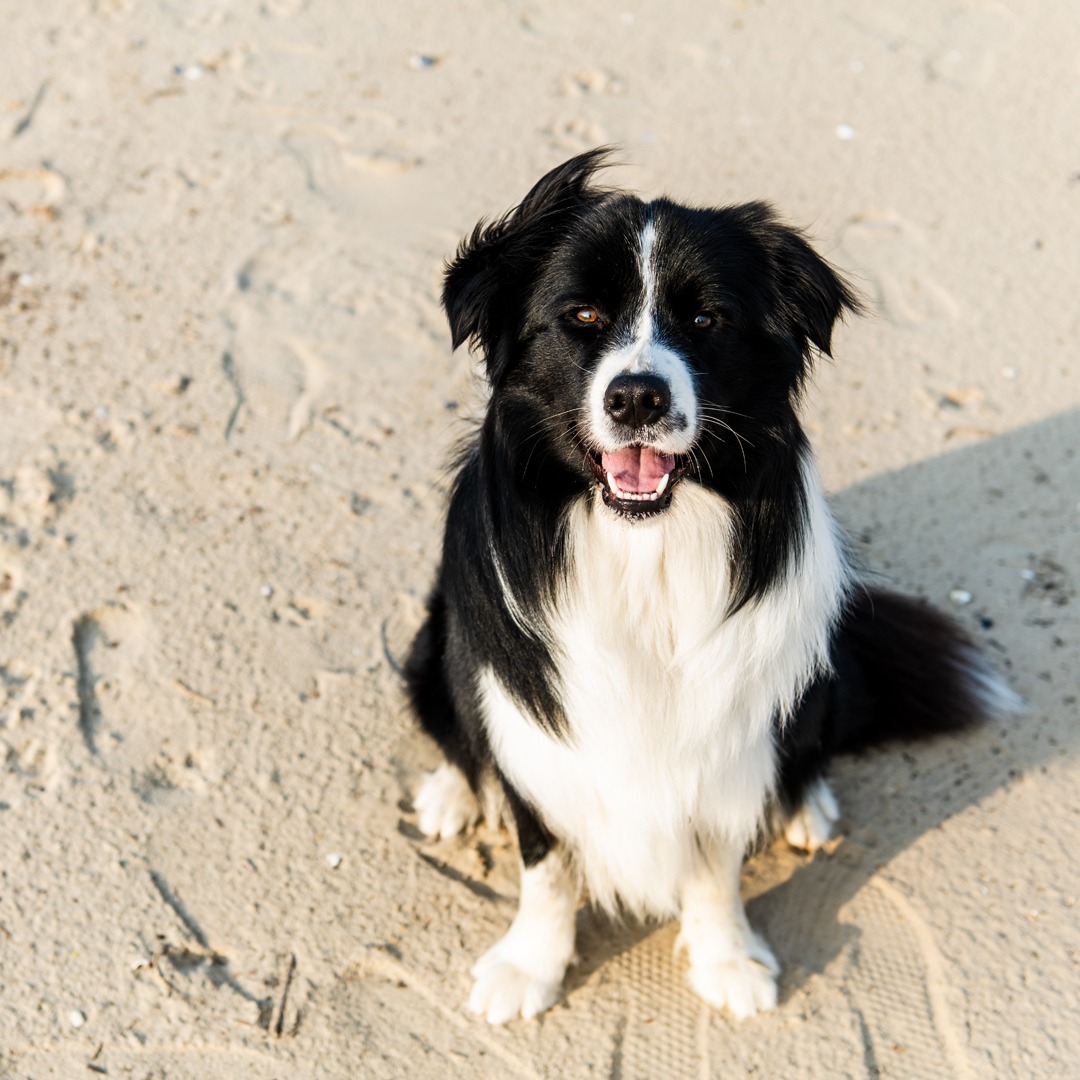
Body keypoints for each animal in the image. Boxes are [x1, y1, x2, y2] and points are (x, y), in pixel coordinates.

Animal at [401, 150, 1015, 1019]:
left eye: (704, 321)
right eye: (582, 315)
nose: (637, 396)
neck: (644, 551)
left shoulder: (728, 727)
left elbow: (717, 861)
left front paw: (728, 960)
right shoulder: (540, 732)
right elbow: (545, 858)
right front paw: (529, 966)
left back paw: (806, 804)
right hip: (437, 633)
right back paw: (454, 795)